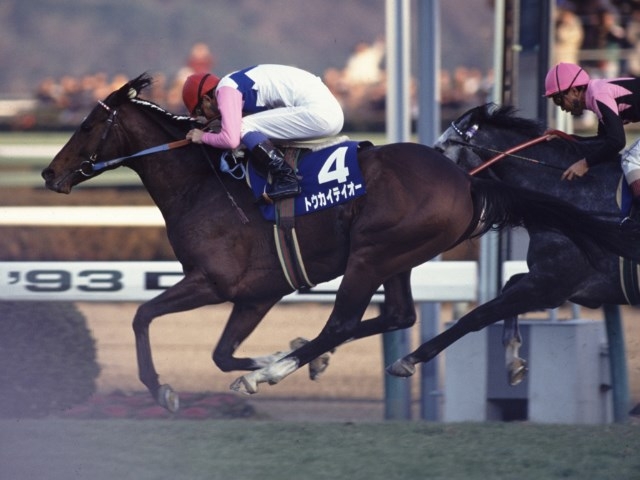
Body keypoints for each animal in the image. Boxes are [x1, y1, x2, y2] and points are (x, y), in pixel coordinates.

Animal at [386, 102, 637, 386]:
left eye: (440, 150)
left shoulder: (551, 285)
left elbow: (476, 316)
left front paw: (407, 359)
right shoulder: (556, 283)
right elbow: (508, 283)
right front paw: (514, 362)